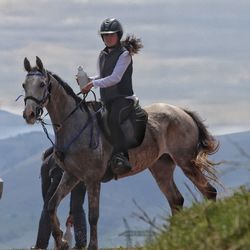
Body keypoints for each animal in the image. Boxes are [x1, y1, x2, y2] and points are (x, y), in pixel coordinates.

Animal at [22, 57, 219, 250]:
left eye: (41, 84)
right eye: (24, 85)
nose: (29, 114)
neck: (74, 125)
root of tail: (182, 111)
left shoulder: (92, 178)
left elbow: (93, 215)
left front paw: (91, 246)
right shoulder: (71, 176)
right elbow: (51, 205)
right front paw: (61, 241)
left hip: (186, 162)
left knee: (209, 192)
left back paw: (211, 228)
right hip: (161, 167)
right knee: (176, 200)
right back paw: (174, 238)